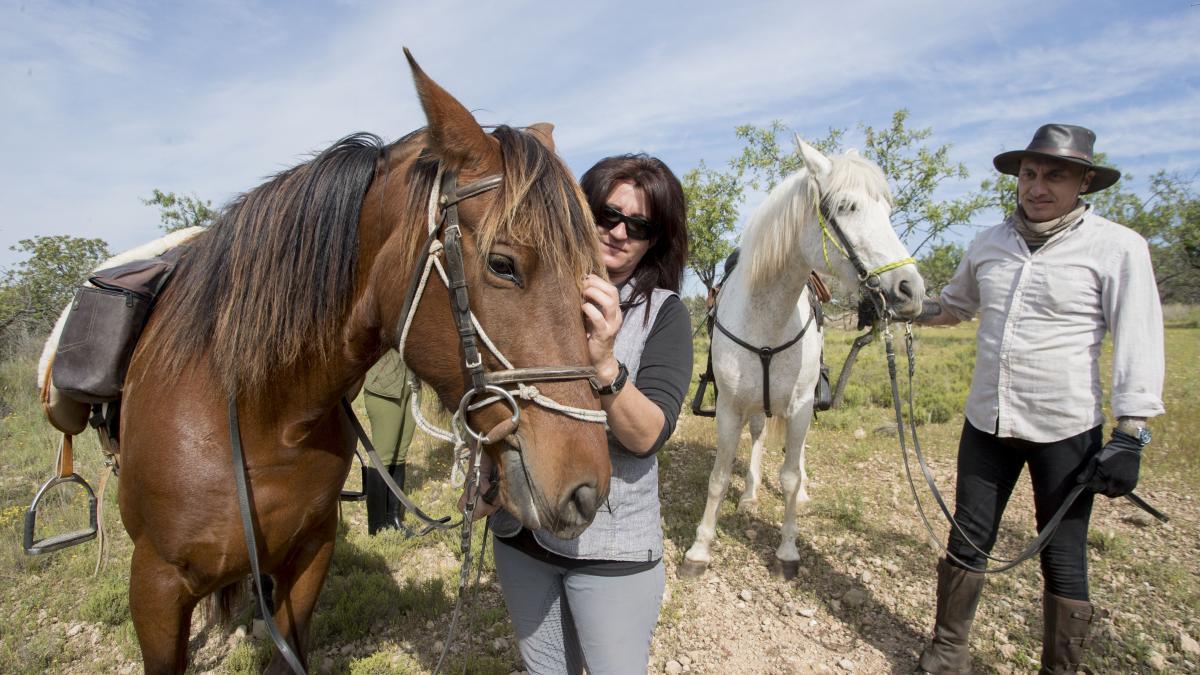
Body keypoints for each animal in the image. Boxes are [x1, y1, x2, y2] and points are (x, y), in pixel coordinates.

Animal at [681, 138, 921, 578]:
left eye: (887, 210)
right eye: (845, 206)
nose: (911, 289)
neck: (767, 316)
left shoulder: (800, 405)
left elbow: (790, 477)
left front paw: (788, 550)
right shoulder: (730, 406)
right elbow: (719, 477)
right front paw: (700, 549)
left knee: (799, 454)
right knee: (759, 434)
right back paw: (750, 494)